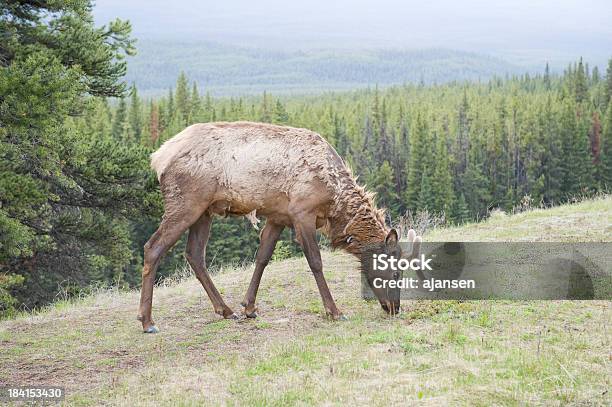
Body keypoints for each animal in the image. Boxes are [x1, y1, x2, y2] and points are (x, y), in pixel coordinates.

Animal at [137, 122, 420, 334]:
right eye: (396, 273)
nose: (395, 308)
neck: (334, 203)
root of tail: (157, 158)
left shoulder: (278, 216)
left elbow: (263, 257)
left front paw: (249, 307)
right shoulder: (302, 213)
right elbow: (315, 262)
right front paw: (334, 311)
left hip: (204, 211)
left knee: (194, 254)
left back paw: (226, 310)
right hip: (185, 203)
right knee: (153, 247)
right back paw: (147, 321)